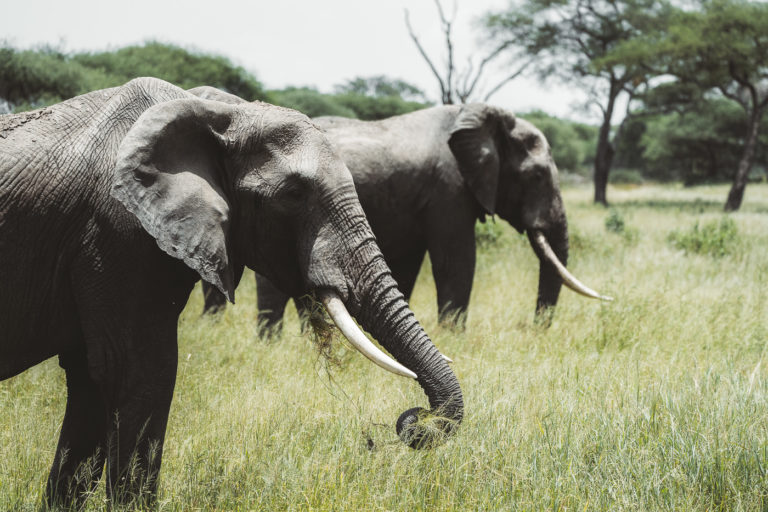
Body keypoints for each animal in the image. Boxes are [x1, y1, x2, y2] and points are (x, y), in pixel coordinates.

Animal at [0, 78, 462, 509]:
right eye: (294, 194)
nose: (415, 420)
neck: (219, 113)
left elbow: (90, 381)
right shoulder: (117, 233)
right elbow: (138, 372)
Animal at [193, 86, 610, 331]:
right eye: (537, 176)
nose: (538, 327)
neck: (476, 116)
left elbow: (409, 266)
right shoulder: (448, 190)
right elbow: (455, 261)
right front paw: (454, 335)